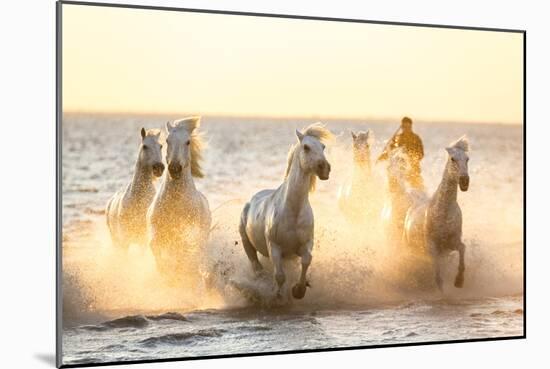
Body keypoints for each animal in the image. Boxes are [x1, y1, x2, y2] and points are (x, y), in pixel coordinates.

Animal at [147, 117, 211, 278]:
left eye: (187, 142)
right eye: (167, 141)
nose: (175, 168)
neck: (176, 204)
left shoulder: (188, 234)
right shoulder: (158, 231)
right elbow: (155, 246)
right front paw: (164, 272)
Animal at [239, 122, 334, 298]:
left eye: (323, 147)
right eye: (306, 147)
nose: (324, 168)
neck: (293, 210)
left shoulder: (305, 244)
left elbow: (307, 260)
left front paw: (299, 290)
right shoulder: (275, 248)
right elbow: (280, 276)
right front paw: (278, 296)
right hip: (246, 242)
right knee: (256, 266)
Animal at [404, 136, 472, 290]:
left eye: (467, 159)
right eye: (453, 159)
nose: (464, 181)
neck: (443, 212)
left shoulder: (451, 243)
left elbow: (463, 248)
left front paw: (459, 281)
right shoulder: (433, 248)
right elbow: (438, 277)